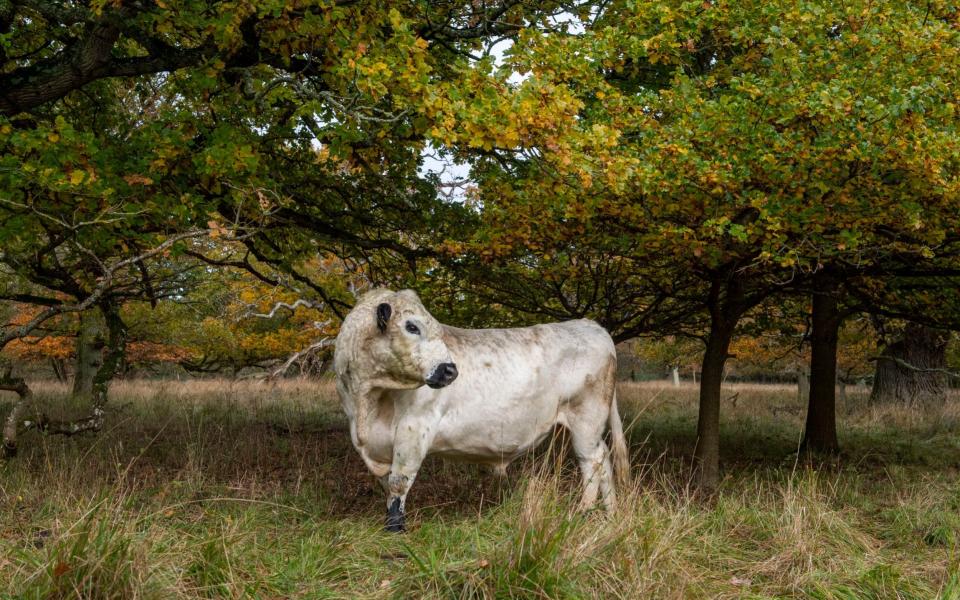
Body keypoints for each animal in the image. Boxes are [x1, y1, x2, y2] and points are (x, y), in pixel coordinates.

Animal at [332, 288, 632, 532]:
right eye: (411, 326)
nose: (450, 370)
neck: (366, 402)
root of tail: (589, 324)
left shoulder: (414, 429)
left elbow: (399, 482)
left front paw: (395, 529)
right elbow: (387, 484)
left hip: (585, 419)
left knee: (592, 462)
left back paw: (581, 513)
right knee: (604, 460)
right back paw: (610, 515)